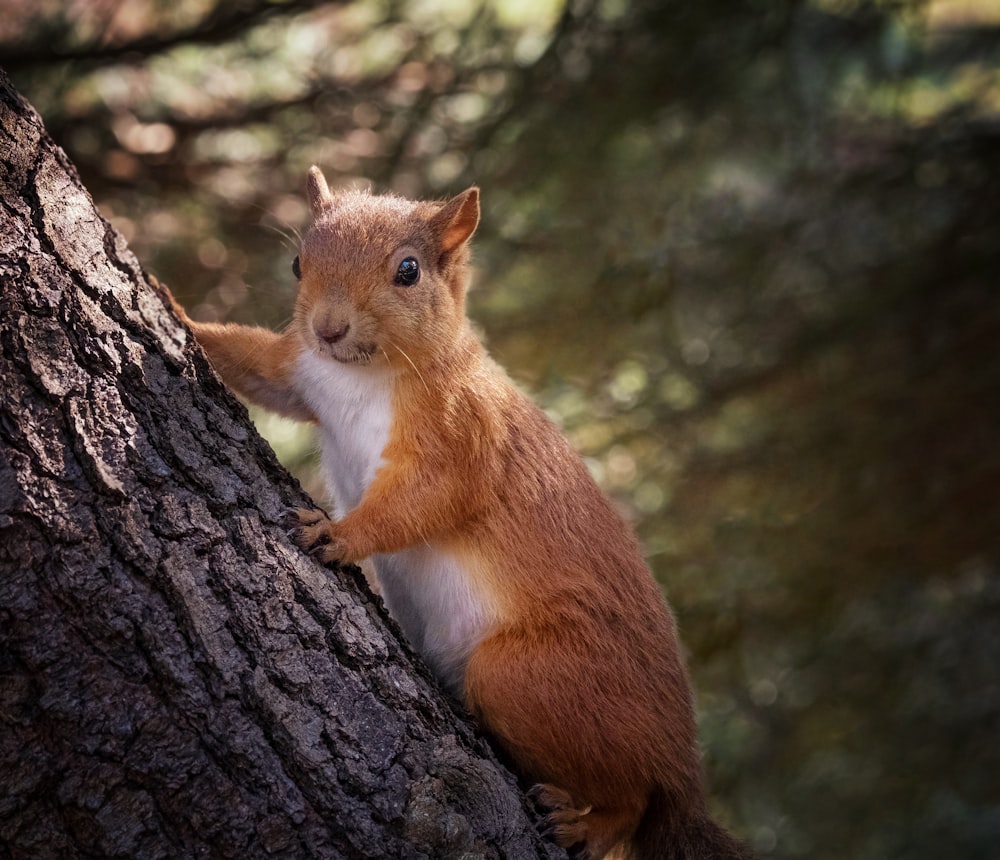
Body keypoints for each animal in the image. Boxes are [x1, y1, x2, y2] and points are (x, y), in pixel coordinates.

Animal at [170, 168, 752, 860]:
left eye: (409, 271)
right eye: (297, 263)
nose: (329, 328)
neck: (361, 375)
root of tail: (680, 766)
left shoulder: (463, 433)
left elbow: (427, 498)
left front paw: (339, 533)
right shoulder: (303, 371)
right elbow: (258, 366)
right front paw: (172, 306)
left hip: (532, 679)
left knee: (634, 800)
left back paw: (590, 824)